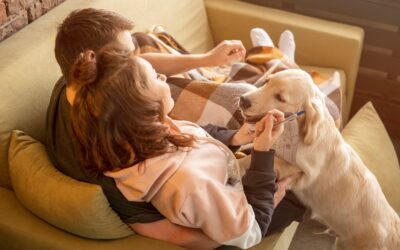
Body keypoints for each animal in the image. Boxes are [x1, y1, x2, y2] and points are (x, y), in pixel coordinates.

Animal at [239, 69, 398, 250]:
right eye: (267, 81)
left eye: (280, 97)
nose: (243, 100)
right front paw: (244, 147)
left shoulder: (301, 172)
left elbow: (265, 159)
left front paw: (236, 162)